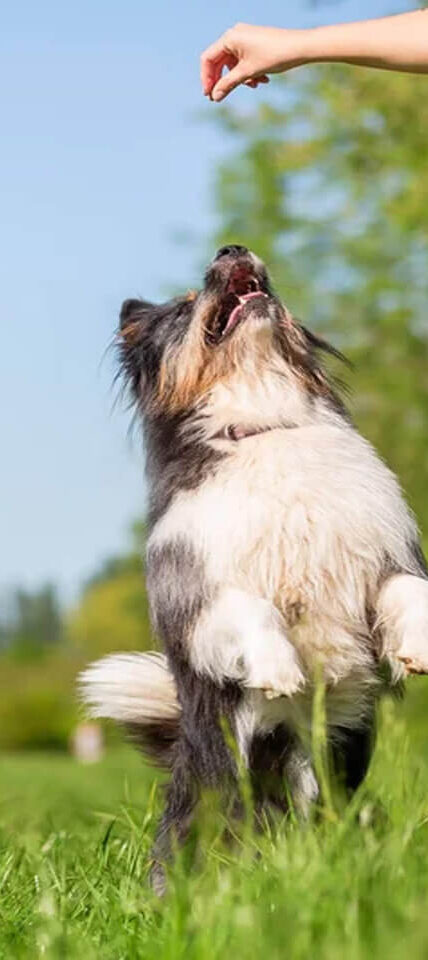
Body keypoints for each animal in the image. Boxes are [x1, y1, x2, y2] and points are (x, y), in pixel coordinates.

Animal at [80, 242, 428, 892]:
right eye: (186, 303)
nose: (233, 247)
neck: (263, 423)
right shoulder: (194, 593)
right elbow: (249, 608)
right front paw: (279, 669)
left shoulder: (378, 559)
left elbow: (408, 591)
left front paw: (416, 648)